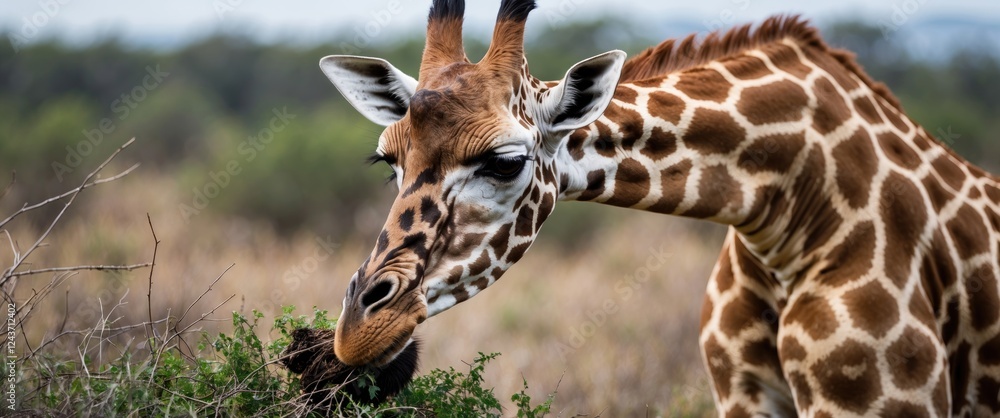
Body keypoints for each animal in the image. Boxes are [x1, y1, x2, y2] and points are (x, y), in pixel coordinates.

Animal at [317, 0, 1000, 415]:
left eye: (505, 161)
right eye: (388, 160)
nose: (358, 332)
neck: (791, 209)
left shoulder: (885, 400)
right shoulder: (745, 394)